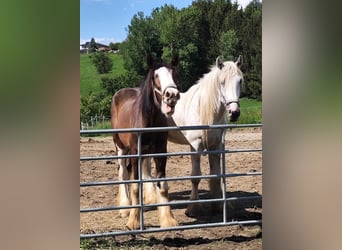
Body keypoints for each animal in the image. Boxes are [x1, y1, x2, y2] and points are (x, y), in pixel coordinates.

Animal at [111, 55, 182, 229]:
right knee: (123, 173)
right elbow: (136, 185)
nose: (172, 95)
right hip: (120, 147)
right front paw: (134, 220)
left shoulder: (160, 151)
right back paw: (125, 208)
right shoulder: (135, 152)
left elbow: (161, 184)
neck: (149, 119)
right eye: (155, 76)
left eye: (173, 74)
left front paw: (168, 219)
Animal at [168, 56, 243, 217]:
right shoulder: (195, 146)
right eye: (222, 82)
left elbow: (215, 175)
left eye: (240, 81)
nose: (234, 112)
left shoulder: (215, 147)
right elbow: (196, 177)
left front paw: (217, 206)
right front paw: (193, 209)